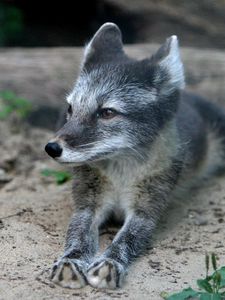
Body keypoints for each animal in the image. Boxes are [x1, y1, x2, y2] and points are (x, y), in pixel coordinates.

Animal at [44, 22, 225, 290]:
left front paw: (110, 263)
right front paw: (72, 260)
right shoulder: (87, 204)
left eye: (107, 112)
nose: (52, 148)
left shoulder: (146, 211)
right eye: (70, 109)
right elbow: (78, 234)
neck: (122, 174)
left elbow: (126, 239)